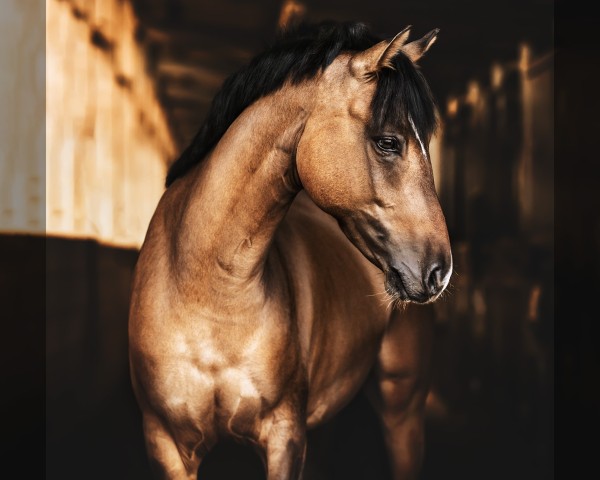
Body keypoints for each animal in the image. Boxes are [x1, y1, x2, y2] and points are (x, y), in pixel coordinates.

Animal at [129, 20, 452, 478]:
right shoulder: (166, 443)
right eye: (388, 142)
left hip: (402, 413)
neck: (208, 293)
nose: (439, 270)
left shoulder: (284, 437)